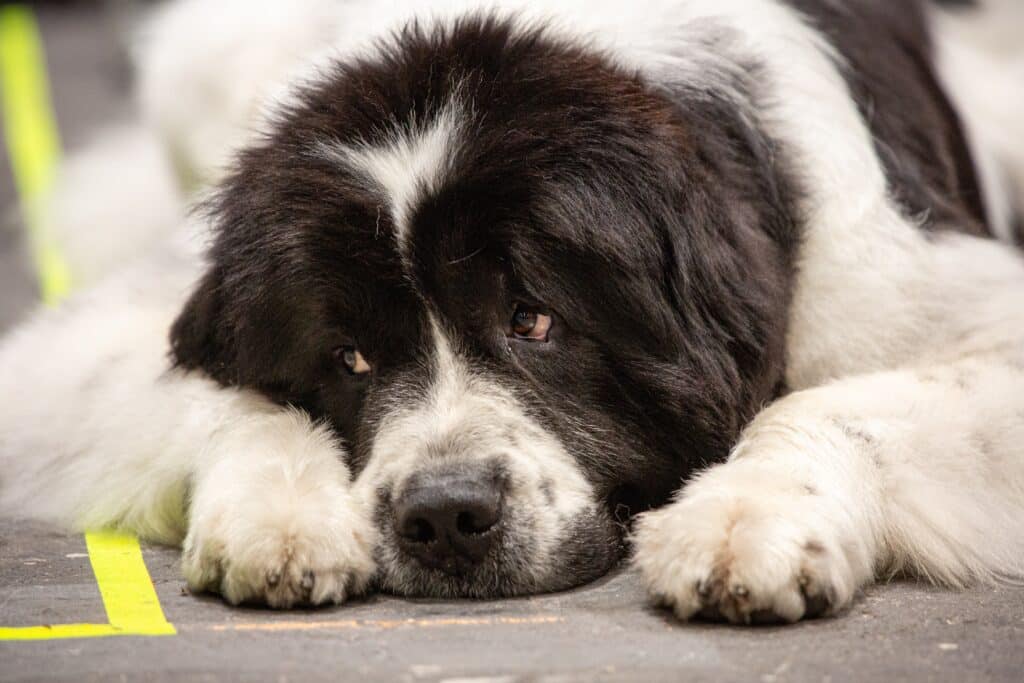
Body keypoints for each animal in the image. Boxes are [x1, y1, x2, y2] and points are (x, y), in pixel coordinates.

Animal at [2, 0, 1024, 626]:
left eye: (534, 319)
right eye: (348, 357)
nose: (446, 515)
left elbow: (824, 403)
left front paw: (745, 521)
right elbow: (221, 394)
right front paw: (278, 511)